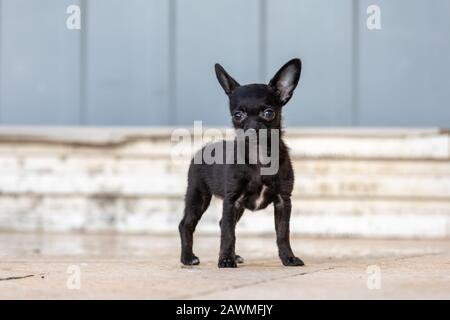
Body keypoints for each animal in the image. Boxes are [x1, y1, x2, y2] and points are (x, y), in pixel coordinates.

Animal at [178, 59, 302, 268]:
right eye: (237, 115)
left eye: (269, 113)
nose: (252, 131)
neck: (259, 156)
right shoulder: (231, 200)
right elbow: (228, 234)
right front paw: (226, 260)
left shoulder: (283, 201)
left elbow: (283, 233)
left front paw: (288, 258)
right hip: (198, 196)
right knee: (187, 224)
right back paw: (188, 258)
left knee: (222, 223)